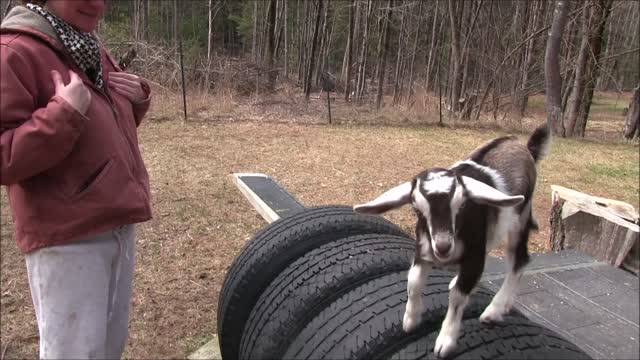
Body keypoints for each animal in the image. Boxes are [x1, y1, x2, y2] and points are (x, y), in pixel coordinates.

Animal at [356, 125, 552, 356]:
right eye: (416, 209)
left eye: (462, 205)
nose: (443, 247)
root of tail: (525, 147)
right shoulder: (423, 249)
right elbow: (413, 281)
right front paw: (411, 320)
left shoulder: (473, 255)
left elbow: (458, 296)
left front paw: (445, 341)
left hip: (519, 219)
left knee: (519, 260)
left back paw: (494, 310)